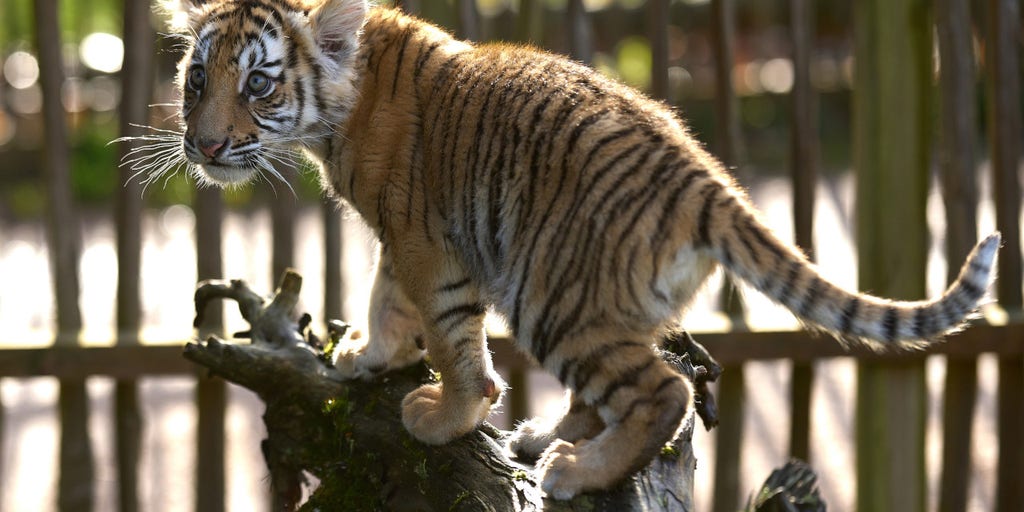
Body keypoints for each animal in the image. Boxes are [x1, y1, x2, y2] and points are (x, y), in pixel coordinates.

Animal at [156, 0, 1000, 499]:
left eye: (258, 84)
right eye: (196, 80)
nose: (205, 144)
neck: (340, 100)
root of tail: (706, 182)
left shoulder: (427, 241)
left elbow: (451, 338)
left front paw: (446, 413)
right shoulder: (403, 236)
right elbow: (387, 296)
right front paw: (370, 357)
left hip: (552, 295)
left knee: (665, 392)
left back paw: (575, 469)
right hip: (604, 303)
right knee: (620, 387)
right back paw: (543, 437)